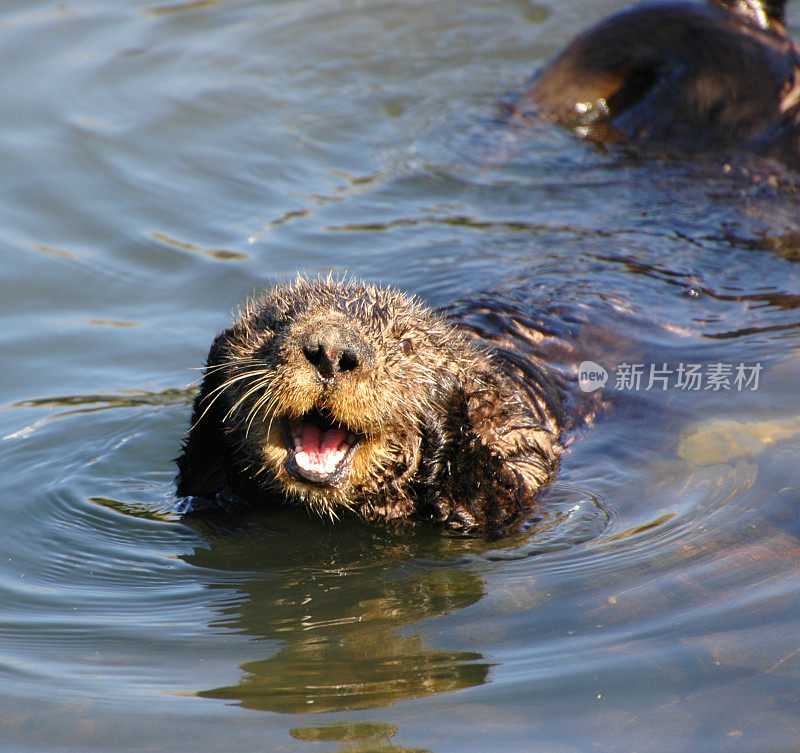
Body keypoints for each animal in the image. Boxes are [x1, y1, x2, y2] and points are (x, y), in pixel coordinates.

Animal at [178, 278, 572, 536]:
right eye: (276, 323)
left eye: (405, 345)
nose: (331, 349)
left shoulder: (523, 450)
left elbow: (487, 505)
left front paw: (443, 395)